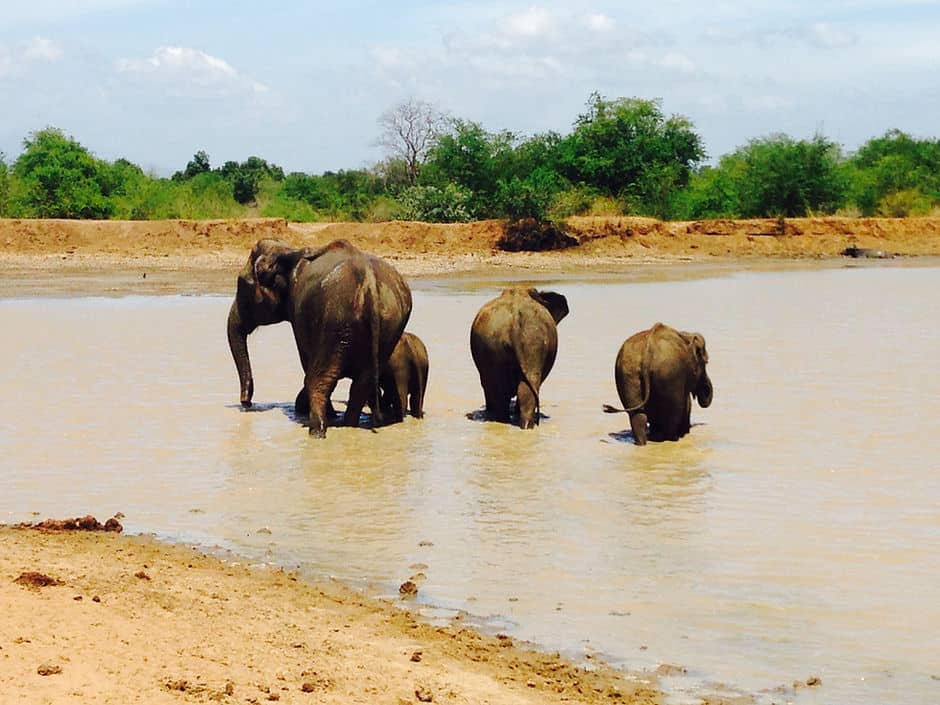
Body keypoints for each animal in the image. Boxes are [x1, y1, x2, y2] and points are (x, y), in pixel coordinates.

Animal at [226, 238, 414, 434]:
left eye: (242, 287)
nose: (247, 403)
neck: (288, 250)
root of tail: (369, 283)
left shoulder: (299, 315)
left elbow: (306, 362)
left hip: (336, 318)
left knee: (320, 380)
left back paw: (317, 430)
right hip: (388, 326)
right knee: (363, 381)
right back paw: (347, 425)